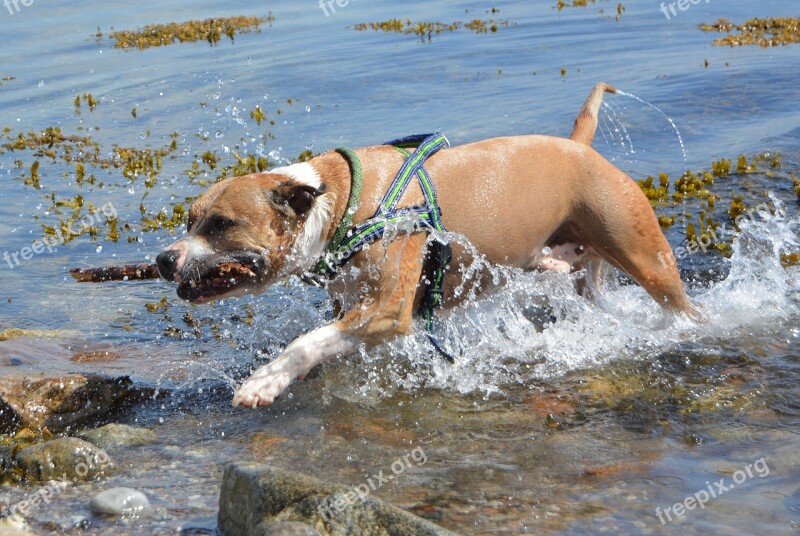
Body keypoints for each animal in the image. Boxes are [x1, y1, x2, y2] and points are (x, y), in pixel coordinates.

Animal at [155, 82, 692, 406]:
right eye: (190, 220)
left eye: (222, 224)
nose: (163, 259)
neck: (338, 204)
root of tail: (580, 148)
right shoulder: (353, 306)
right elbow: (325, 340)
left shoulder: (387, 308)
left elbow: (305, 341)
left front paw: (266, 379)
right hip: (586, 275)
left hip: (647, 259)